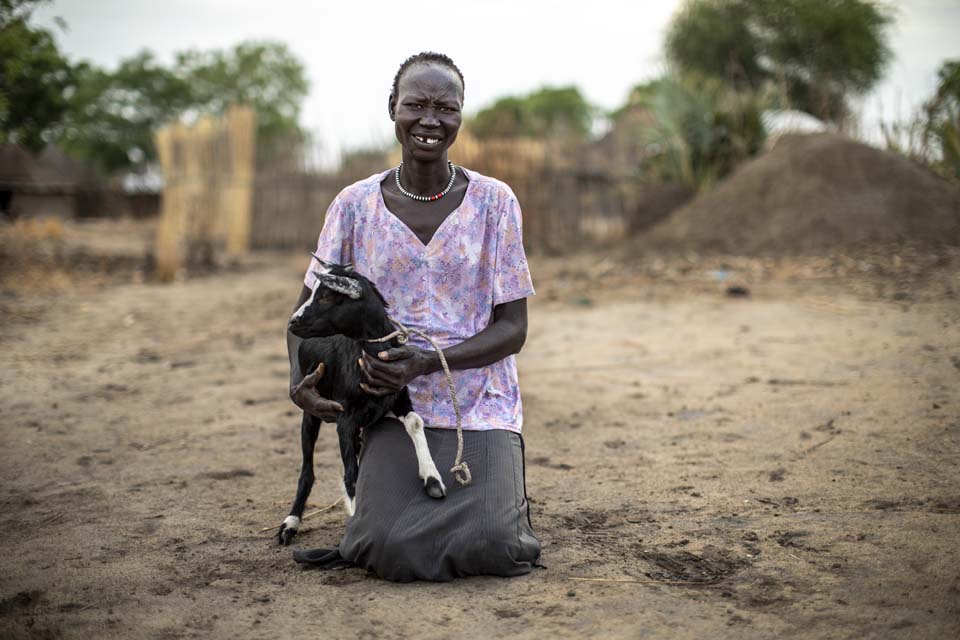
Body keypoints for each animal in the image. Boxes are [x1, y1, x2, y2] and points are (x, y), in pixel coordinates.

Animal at [276, 260, 444, 544]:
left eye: (327, 295)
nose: (292, 322)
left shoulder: (398, 396)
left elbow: (416, 423)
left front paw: (432, 478)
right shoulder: (345, 417)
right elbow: (351, 475)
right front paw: (355, 521)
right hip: (311, 412)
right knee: (307, 470)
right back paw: (290, 524)